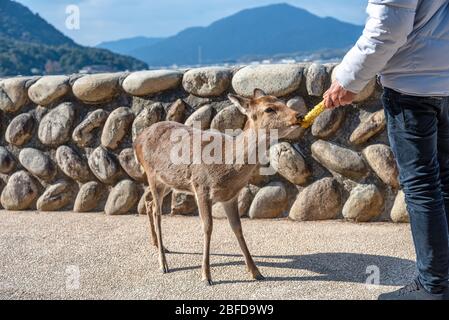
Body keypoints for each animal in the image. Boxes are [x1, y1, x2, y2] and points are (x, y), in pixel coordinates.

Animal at [133, 88, 300, 284]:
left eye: (281, 101)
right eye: (269, 109)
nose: (298, 115)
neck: (226, 166)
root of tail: (136, 141)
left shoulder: (230, 196)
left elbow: (237, 227)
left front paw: (256, 271)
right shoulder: (201, 187)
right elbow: (207, 227)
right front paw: (206, 276)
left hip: (168, 182)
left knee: (149, 202)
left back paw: (159, 245)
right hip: (152, 175)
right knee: (157, 212)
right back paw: (163, 263)